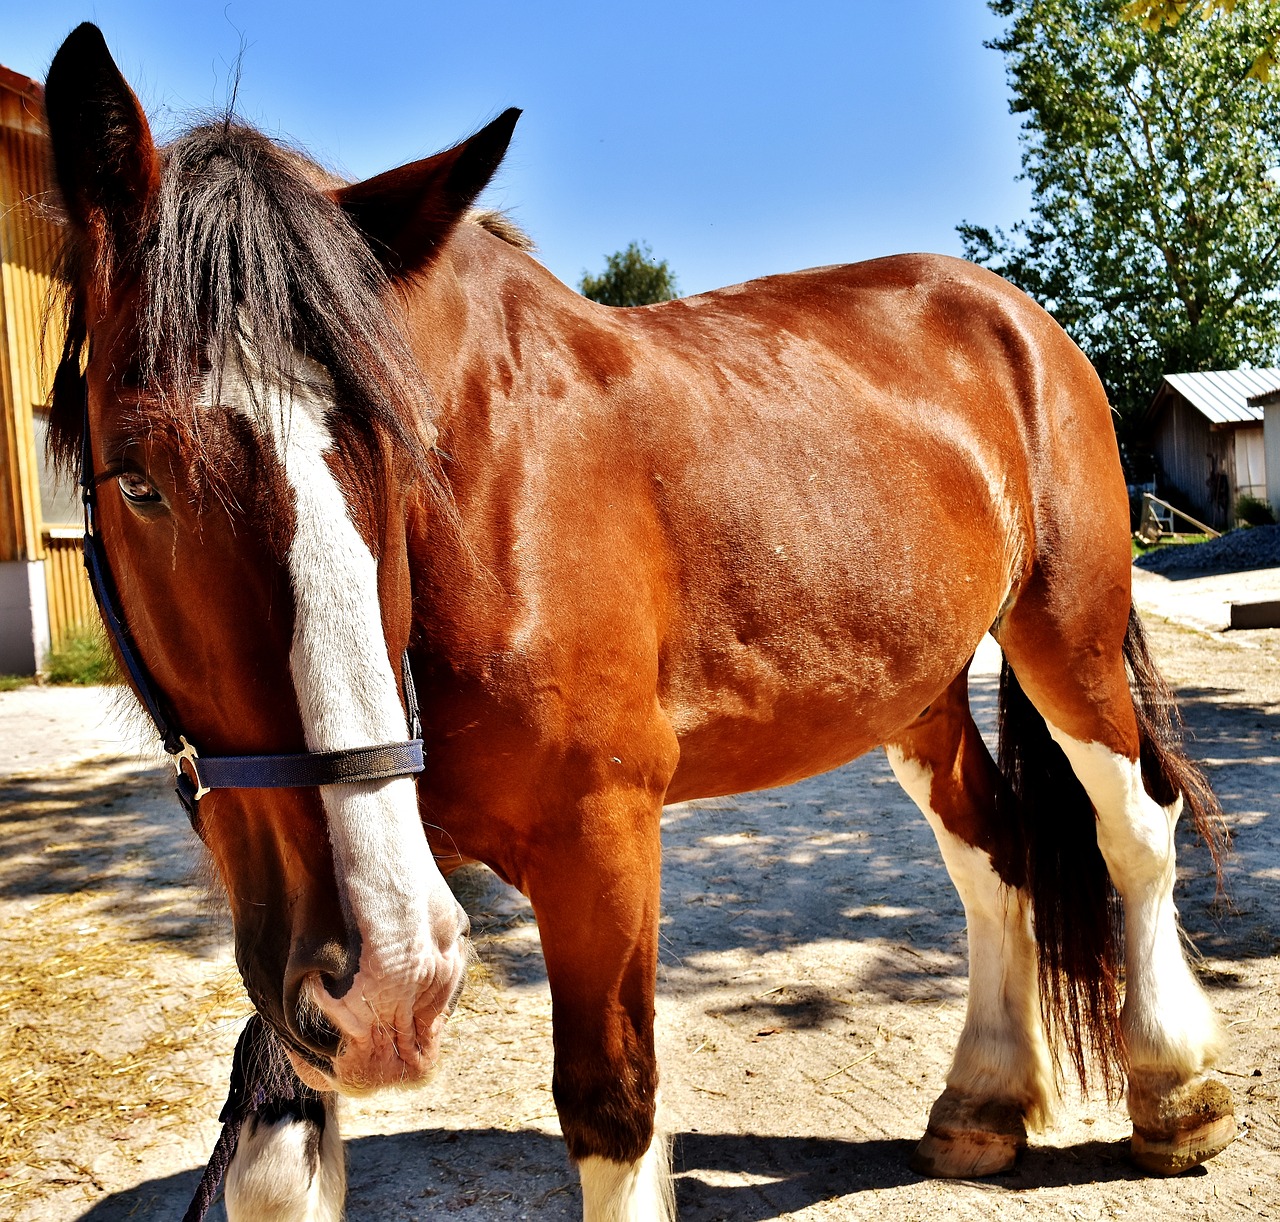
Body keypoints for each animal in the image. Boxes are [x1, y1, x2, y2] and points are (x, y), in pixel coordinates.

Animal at [45, 21, 1233, 1222]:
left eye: (401, 455)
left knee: (1133, 828)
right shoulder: (305, 929)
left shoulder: (598, 840)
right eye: (137, 480)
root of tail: (1015, 317)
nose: (391, 977)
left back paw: (1173, 1090)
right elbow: (277, 1153)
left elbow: (613, 1105)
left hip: (1066, 639)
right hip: (915, 693)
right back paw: (983, 1100)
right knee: (993, 848)